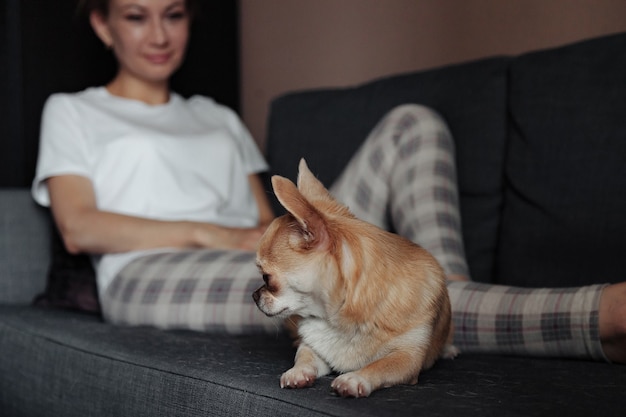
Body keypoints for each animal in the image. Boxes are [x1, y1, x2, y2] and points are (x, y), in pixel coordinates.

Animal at [251, 158, 456, 396]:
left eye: (267, 278)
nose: (254, 295)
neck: (336, 317)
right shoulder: (313, 346)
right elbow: (304, 355)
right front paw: (298, 372)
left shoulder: (407, 358)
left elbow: (380, 365)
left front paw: (354, 378)